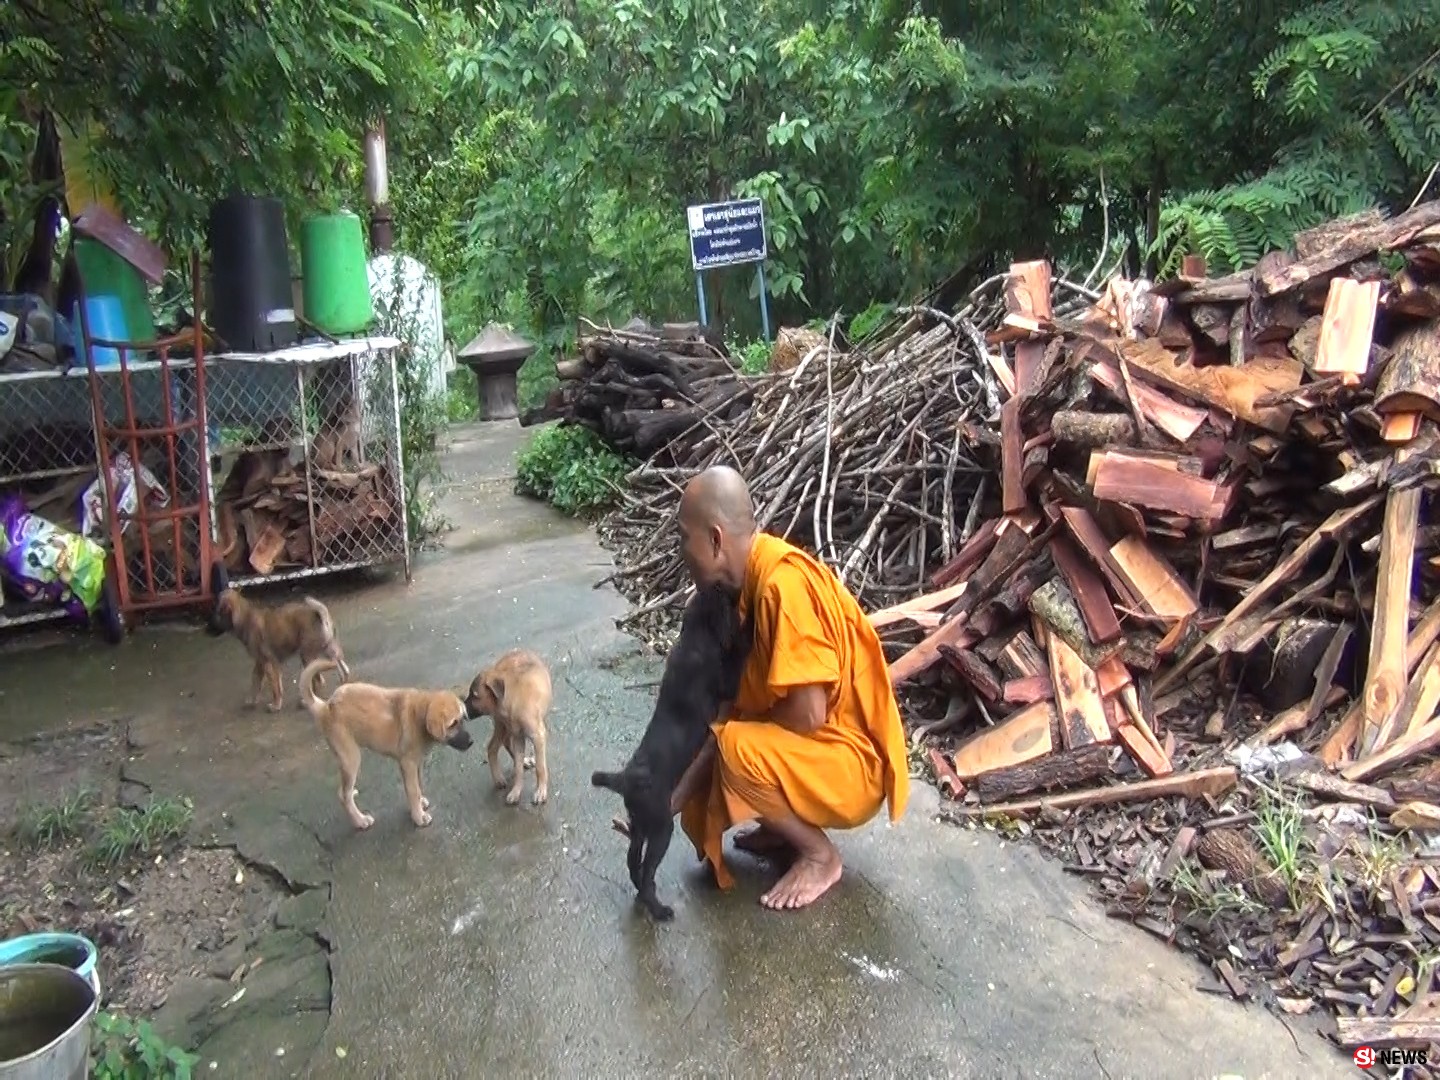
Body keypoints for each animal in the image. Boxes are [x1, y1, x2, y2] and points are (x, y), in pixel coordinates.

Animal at [208, 587, 351, 714]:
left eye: (217, 613)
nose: (206, 630)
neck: (245, 617)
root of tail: (318, 614)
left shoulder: (268, 664)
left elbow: (274, 687)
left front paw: (276, 705)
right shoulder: (261, 662)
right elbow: (256, 680)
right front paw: (252, 699)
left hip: (307, 656)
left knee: (318, 679)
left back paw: (307, 700)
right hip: (327, 648)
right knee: (339, 662)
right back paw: (344, 678)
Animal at [300, 659, 475, 829]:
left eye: (462, 719)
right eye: (452, 724)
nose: (471, 742)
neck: (420, 716)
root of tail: (326, 707)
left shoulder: (417, 763)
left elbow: (418, 785)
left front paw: (420, 803)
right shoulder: (407, 764)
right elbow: (413, 790)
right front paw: (419, 816)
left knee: (344, 791)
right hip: (350, 757)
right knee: (344, 795)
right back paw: (360, 821)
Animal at [466, 650, 550, 806]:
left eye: (474, 696)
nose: (463, 710)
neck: (513, 699)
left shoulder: (537, 736)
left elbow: (540, 767)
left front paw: (540, 791)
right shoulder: (518, 737)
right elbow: (518, 770)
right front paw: (516, 791)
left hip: (505, 727)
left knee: (503, 743)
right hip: (501, 725)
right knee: (493, 746)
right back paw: (499, 778)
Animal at [593, 584, 754, 921]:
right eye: (725, 592)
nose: (738, 587)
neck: (694, 635)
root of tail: (623, 779)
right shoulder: (726, 683)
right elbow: (739, 649)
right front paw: (751, 624)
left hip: (640, 823)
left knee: (634, 861)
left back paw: (642, 893)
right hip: (661, 826)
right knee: (647, 869)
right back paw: (657, 908)